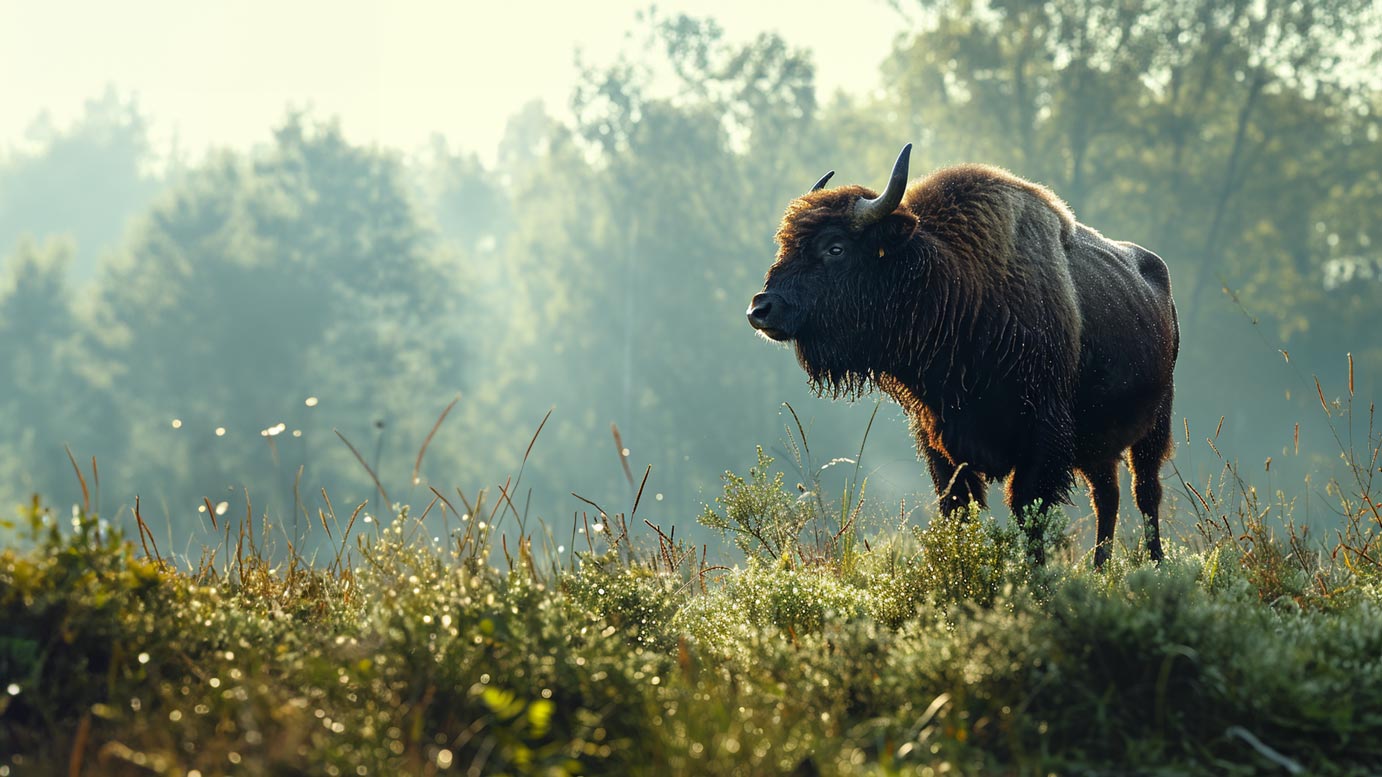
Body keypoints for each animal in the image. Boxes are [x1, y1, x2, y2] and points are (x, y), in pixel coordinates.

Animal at [746, 143, 1177, 561]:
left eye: (835, 248)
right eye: (785, 244)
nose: (760, 309)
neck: (957, 286)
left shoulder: (1043, 442)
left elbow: (1029, 516)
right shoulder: (941, 445)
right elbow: (958, 510)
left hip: (1154, 426)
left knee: (1144, 492)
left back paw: (1156, 563)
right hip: (1098, 447)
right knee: (1108, 497)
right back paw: (1100, 568)